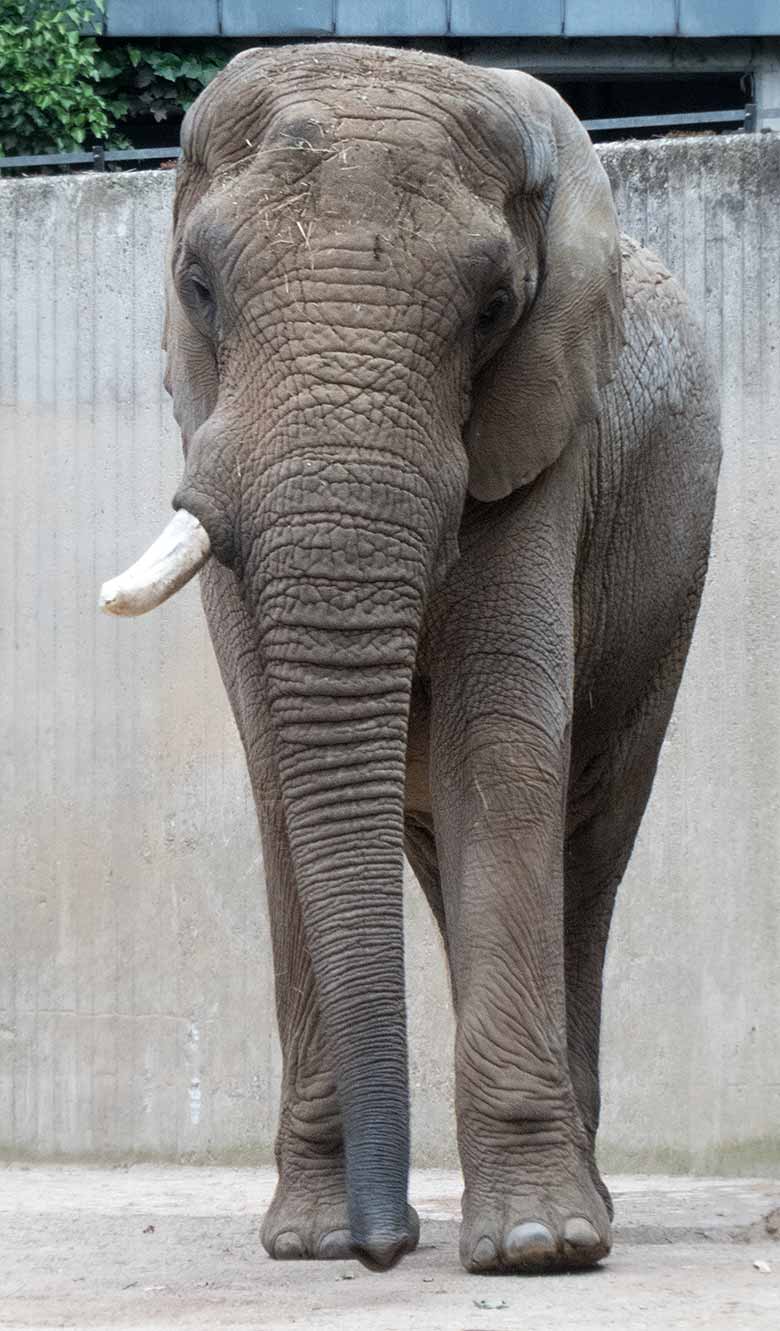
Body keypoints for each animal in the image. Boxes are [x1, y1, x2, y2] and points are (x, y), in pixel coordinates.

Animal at [100, 46, 718, 1277]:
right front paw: (310, 1240)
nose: (386, 1243)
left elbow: (504, 749)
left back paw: (586, 1208)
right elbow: (278, 772)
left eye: (493, 310)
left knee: (589, 842)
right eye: (198, 285)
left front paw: (536, 1243)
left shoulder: (550, 442)